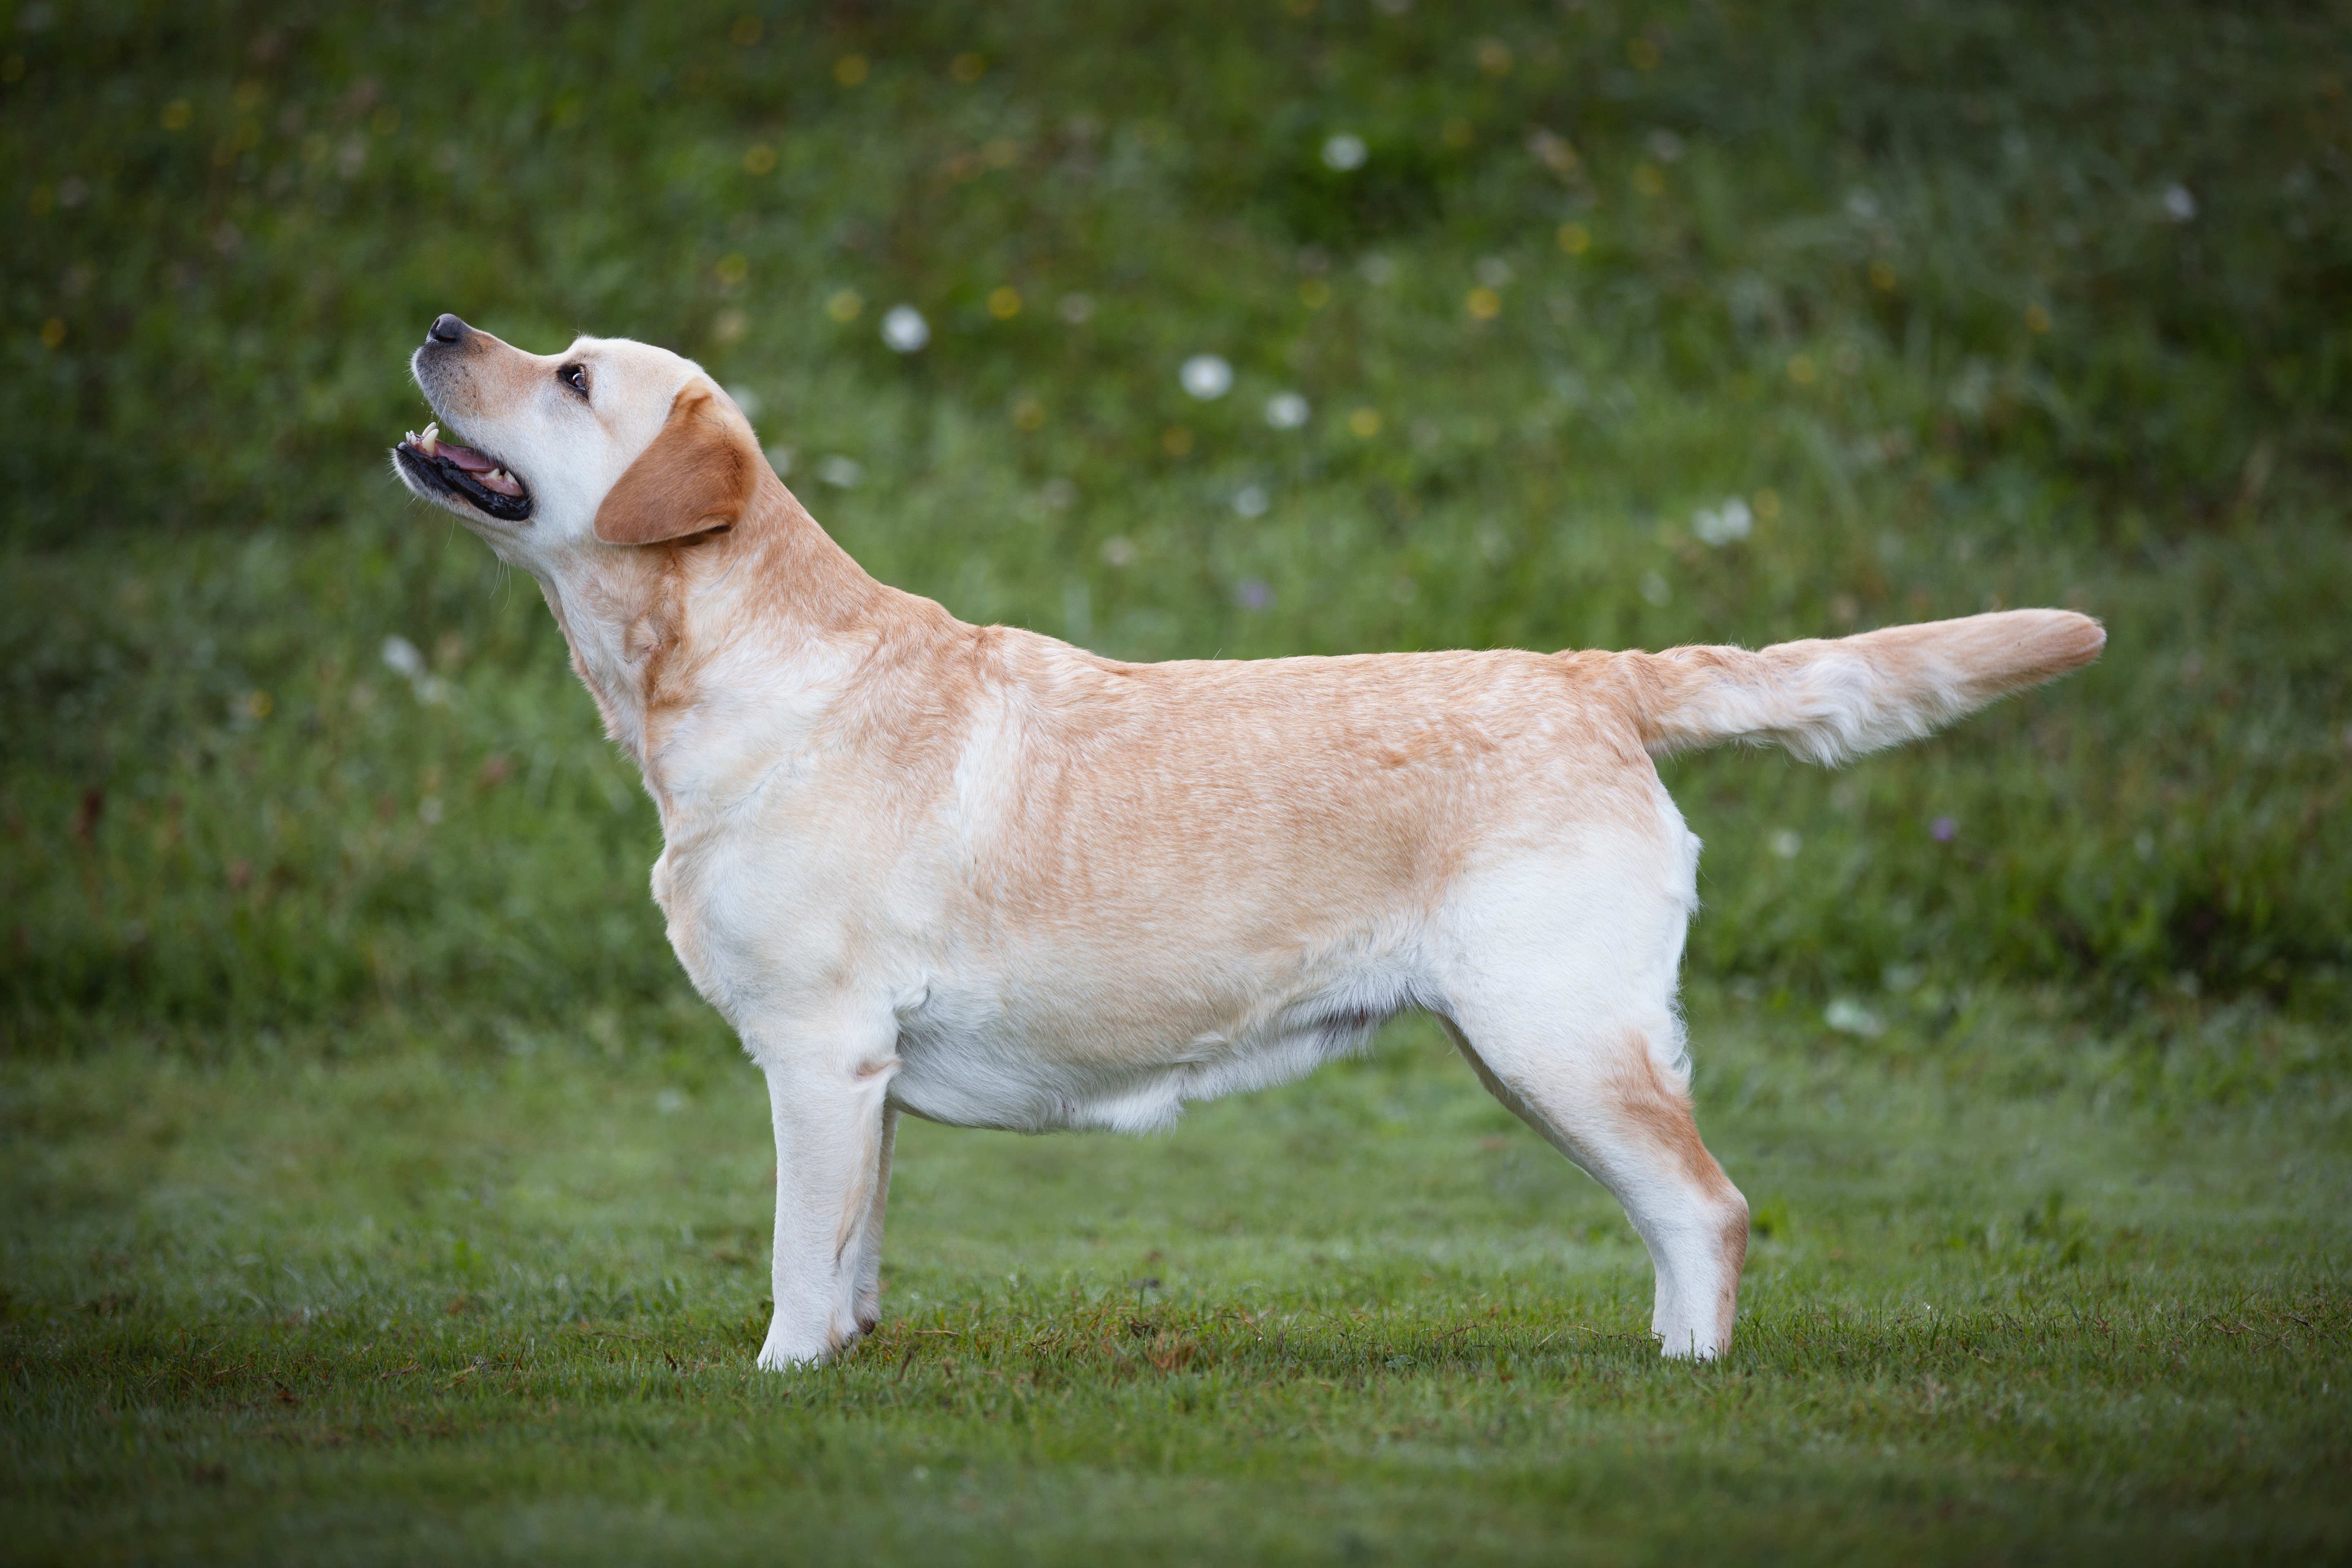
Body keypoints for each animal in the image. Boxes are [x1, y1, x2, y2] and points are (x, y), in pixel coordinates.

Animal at [395, 312, 2107, 1363]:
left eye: (570, 378)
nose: (442, 328)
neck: (730, 666)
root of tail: (1589, 673)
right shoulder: (860, 1077)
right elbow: (855, 1244)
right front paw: (852, 1352)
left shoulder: (816, 1053)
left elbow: (791, 1255)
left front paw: (781, 1378)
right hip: (1539, 1041)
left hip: (1550, 1026)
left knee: (1708, 1206)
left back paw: (1683, 1373)